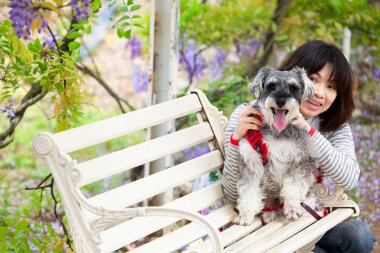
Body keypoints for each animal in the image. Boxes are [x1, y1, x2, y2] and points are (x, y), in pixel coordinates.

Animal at [236, 65, 322, 225]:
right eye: (271, 86)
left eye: (293, 87)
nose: (281, 101)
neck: (276, 130)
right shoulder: (251, 161)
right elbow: (248, 190)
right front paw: (244, 215)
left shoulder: (301, 160)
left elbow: (293, 186)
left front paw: (292, 208)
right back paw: (269, 212)